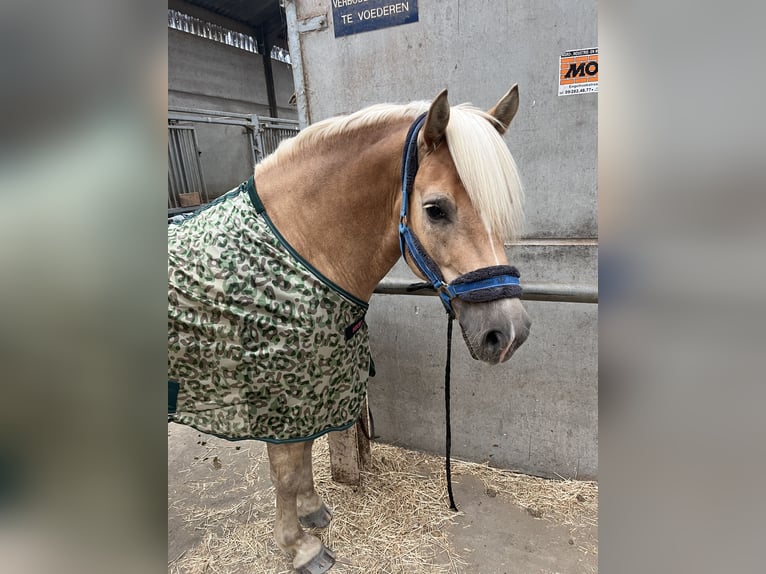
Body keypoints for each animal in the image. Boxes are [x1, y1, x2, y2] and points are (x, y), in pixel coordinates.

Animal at [168, 88, 532, 572]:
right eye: (435, 209)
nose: (508, 333)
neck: (299, 251)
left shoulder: (310, 390)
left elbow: (304, 457)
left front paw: (312, 512)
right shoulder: (276, 398)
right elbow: (285, 471)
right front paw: (300, 548)